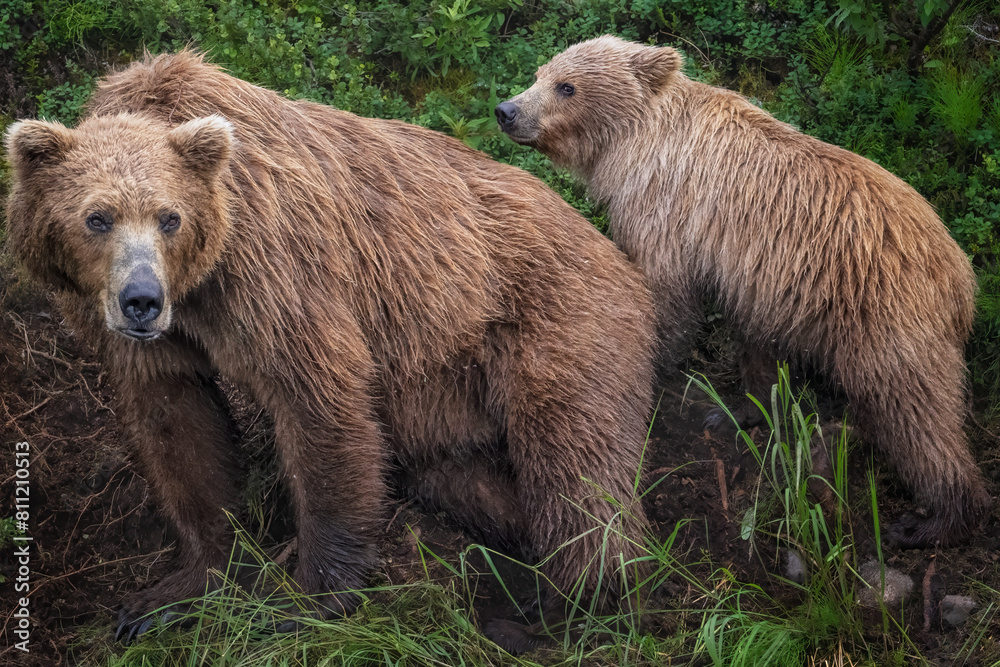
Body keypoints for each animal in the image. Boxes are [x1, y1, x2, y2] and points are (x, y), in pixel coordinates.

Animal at [4, 51, 657, 653]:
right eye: (97, 218)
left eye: (170, 217)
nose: (142, 300)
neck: (199, 284)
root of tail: (614, 248)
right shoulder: (155, 336)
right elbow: (178, 426)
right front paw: (169, 595)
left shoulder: (271, 267)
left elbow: (317, 400)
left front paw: (302, 601)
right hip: (441, 386)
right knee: (466, 475)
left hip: (549, 319)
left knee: (574, 461)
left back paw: (573, 606)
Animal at [496, 34, 989, 548]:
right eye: (540, 72)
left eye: (566, 86)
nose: (506, 110)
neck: (636, 142)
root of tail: (959, 272)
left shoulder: (663, 209)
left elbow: (664, 294)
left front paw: (648, 362)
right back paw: (745, 410)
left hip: (884, 311)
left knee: (914, 410)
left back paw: (933, 520)